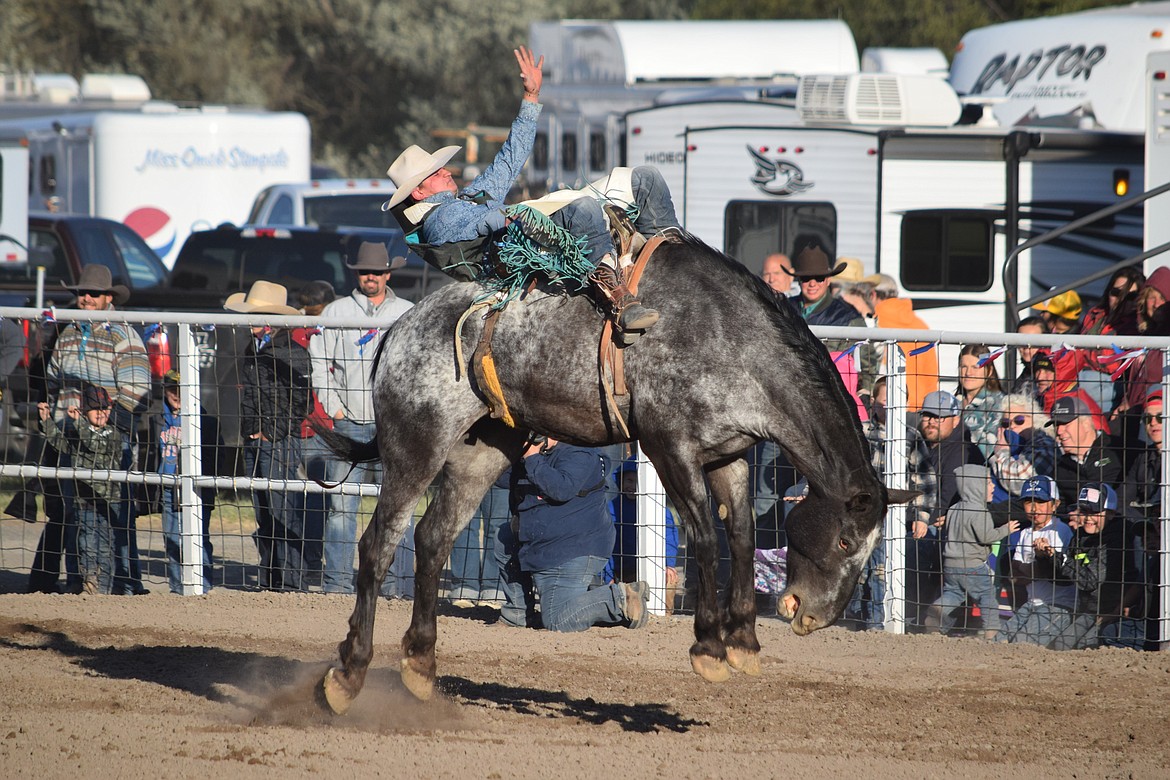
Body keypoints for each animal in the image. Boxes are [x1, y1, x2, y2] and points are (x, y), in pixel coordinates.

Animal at [318, 229, 912, 711]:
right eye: (845, 541)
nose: (814, 617)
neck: (732, 338)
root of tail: (401, 328)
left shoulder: (730, 453)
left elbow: (740, 534)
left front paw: (743, 642)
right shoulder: (671, 447)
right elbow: (704, 535)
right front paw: (709, 647)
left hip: (482, 452)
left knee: (433, 538)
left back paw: (420, 665)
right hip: (416, 445)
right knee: (378, 544)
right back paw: (347, 675)